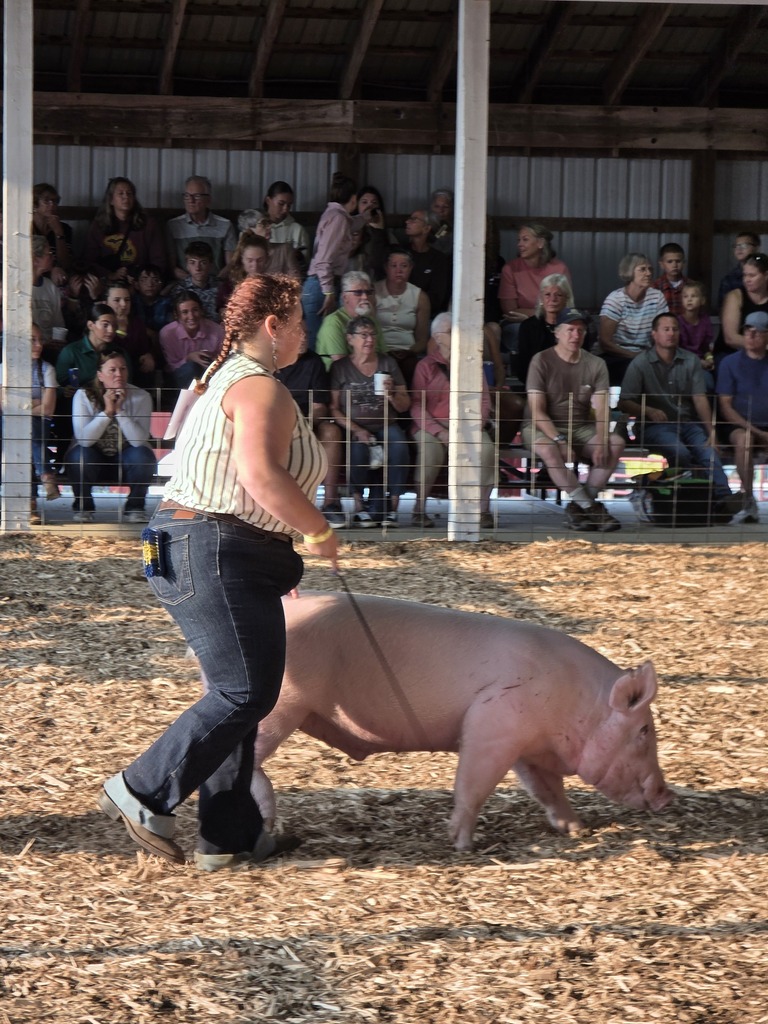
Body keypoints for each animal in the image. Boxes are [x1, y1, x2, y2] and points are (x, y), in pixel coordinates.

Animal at [252, 592, 673, 850]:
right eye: (644, 731)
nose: (667, 795)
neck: (575, 701)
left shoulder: (528, 746)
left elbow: (548, 790)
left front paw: (577, 828)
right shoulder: (491, 726)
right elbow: (473, 785)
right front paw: (463, 844)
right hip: (282, 706)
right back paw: (269, 821)